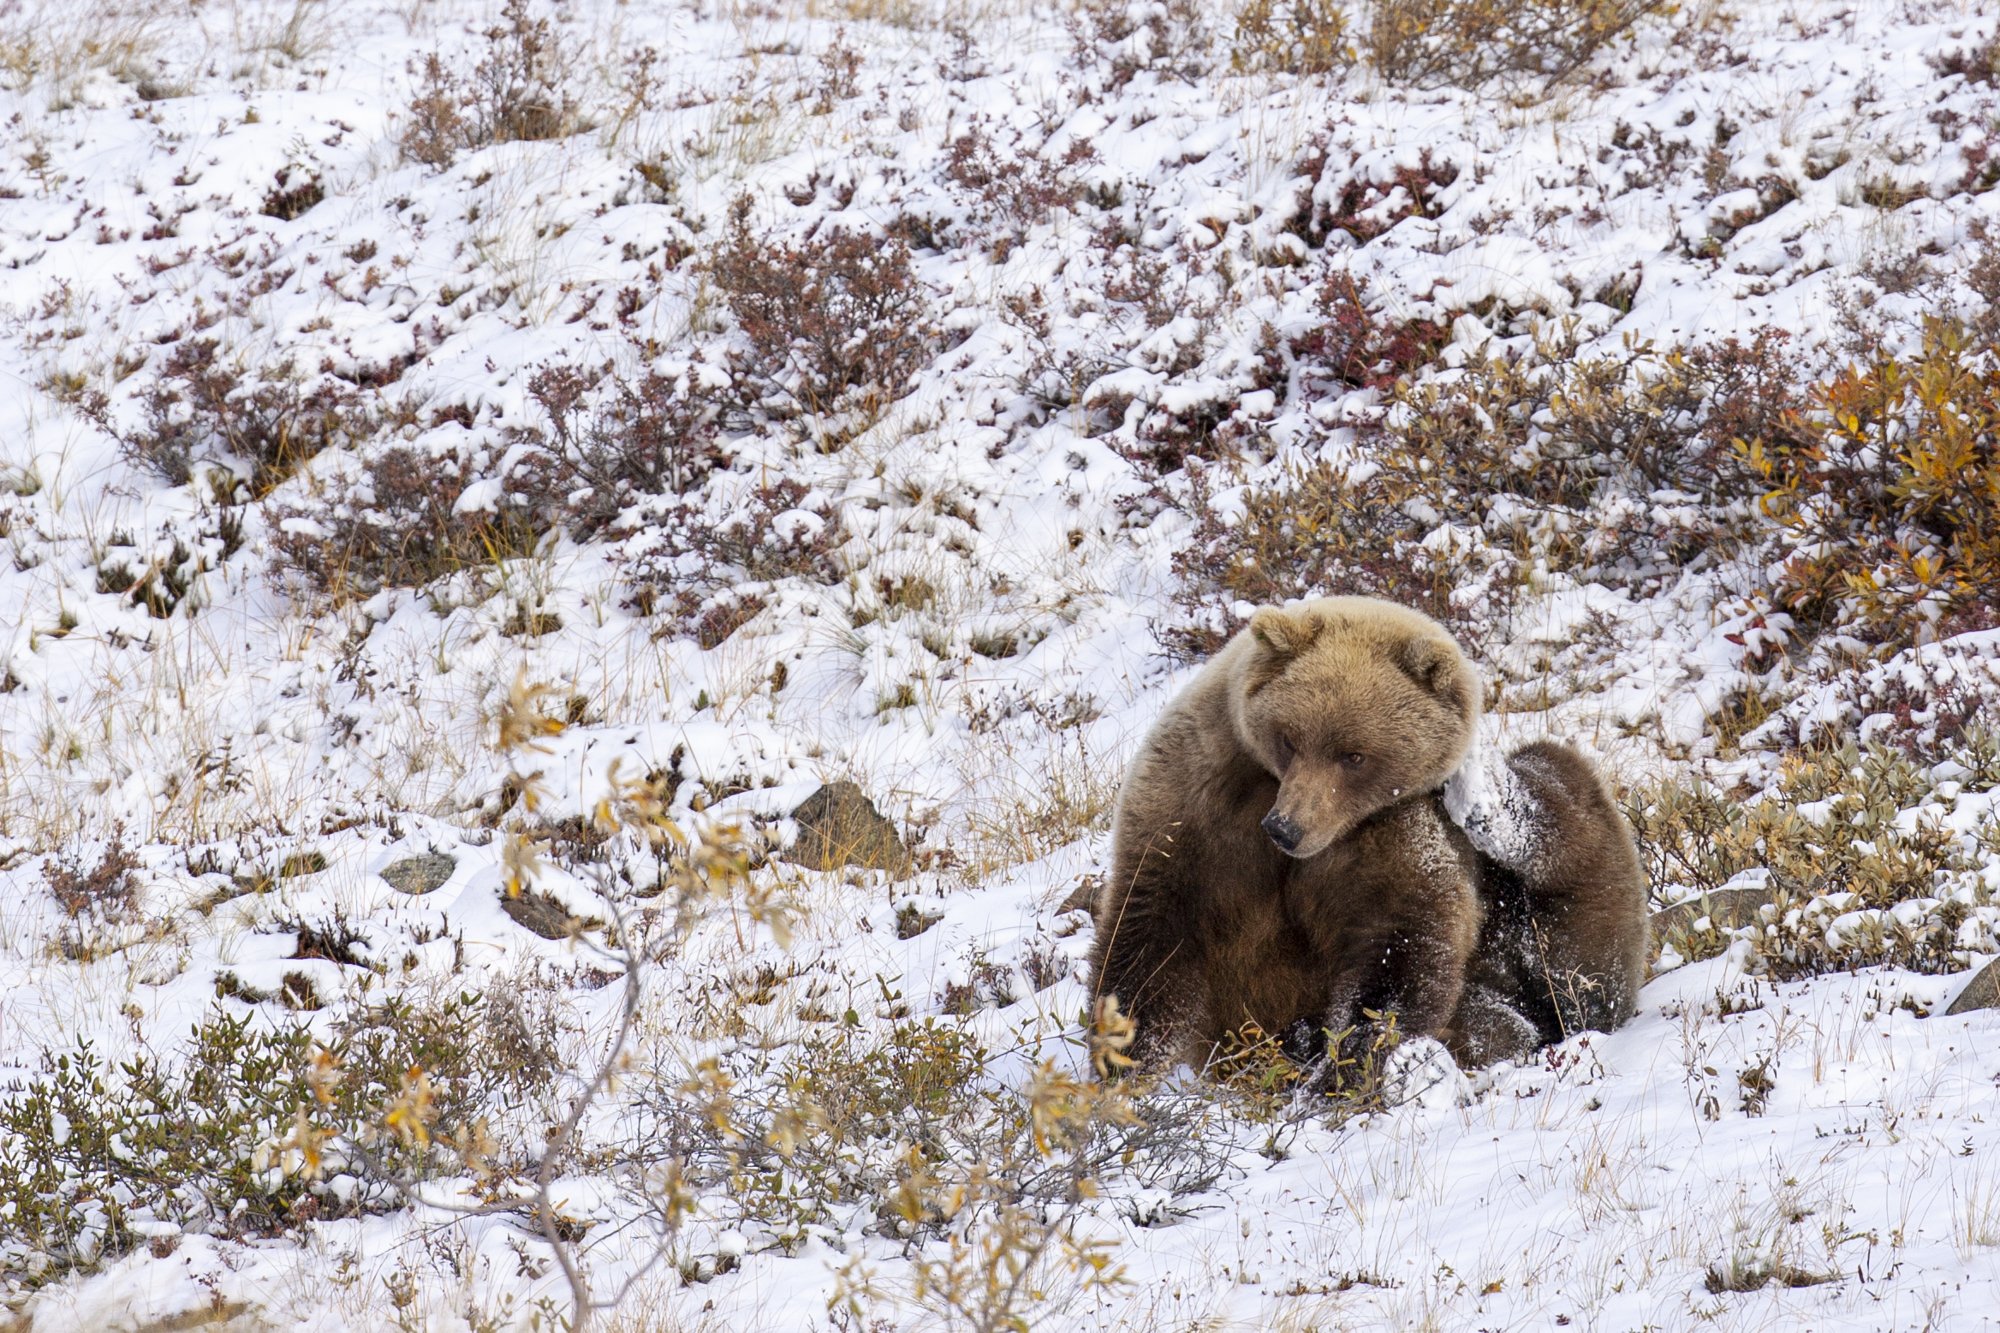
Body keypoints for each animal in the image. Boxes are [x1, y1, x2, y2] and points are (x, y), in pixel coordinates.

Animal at [1088, 596, 1648, 1072]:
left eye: (1354, 755)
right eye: (1289, 738)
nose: (1286, 828)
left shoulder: (1390, 830)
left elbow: (1398, 937)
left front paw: (1348, 1056)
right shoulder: (1194, 802)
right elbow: (1152, 931)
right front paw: (1125, 1061)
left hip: (1539, 928)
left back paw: (1491, 798)